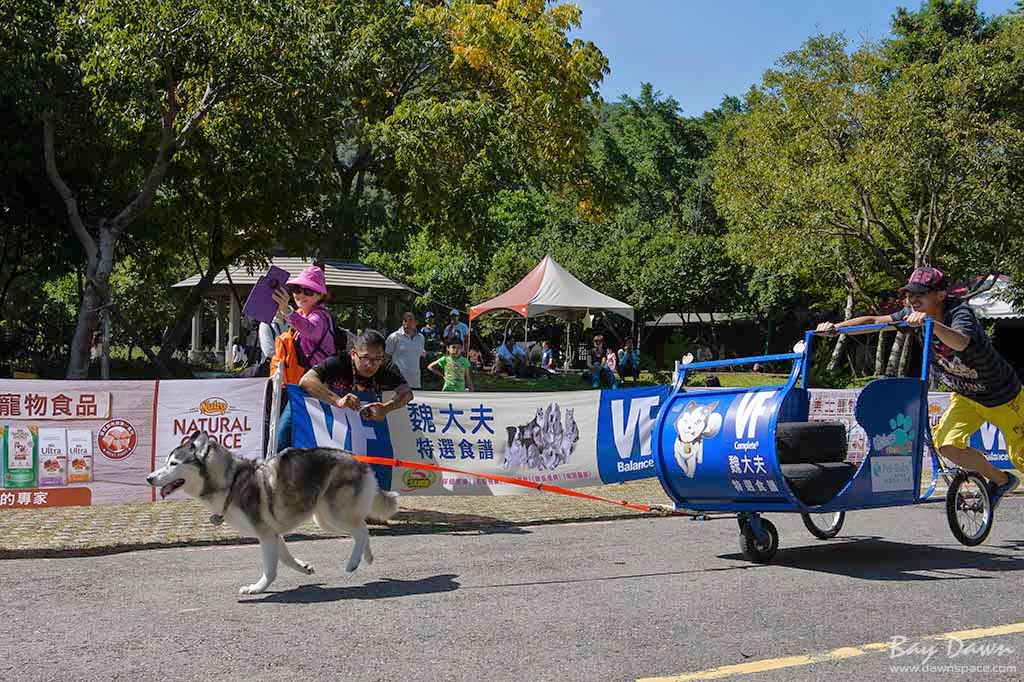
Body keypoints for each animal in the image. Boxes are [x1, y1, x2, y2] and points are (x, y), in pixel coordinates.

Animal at [147, 432, 399, 593]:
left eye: (173, 464)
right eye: (166, 462)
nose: (149, 478)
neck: (231, 482)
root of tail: (358, 460)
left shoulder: (265, 534)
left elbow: (270, 569)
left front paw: (257, 588)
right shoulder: (273, 533)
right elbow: (285, 559)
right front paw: (304, 568)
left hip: (332, 514)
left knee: (361, 531)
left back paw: (353, 563)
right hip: (324, 518)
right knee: (363, 528)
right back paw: (367, 557)